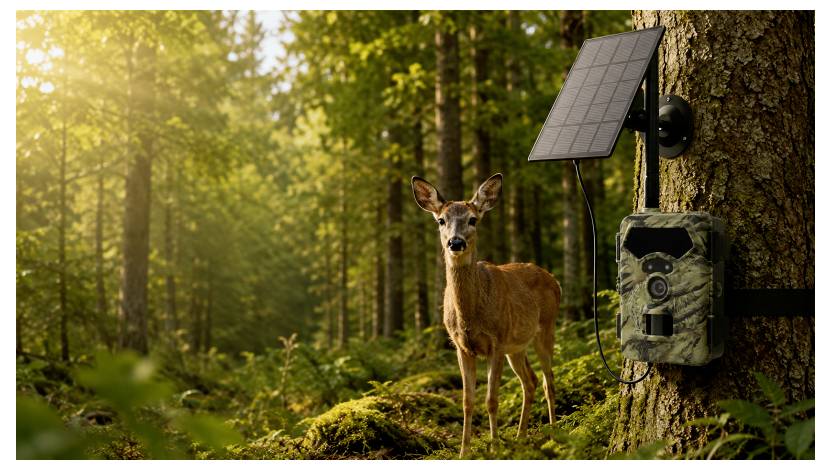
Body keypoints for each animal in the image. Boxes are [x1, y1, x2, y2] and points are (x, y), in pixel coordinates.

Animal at [410, 173, 561, 458]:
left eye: (473, 219)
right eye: (441, 220)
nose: (456, 242)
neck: (470, 316)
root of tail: (554, 279)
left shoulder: (497, 343)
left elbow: (491, 400)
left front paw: (494, 447)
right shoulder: (461, 347)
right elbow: (467, 401)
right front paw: (464, 452)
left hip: (545, 329)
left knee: (549, 381)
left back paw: (553, 435)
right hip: (517, 347)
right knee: (531, 381)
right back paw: (521, 437)